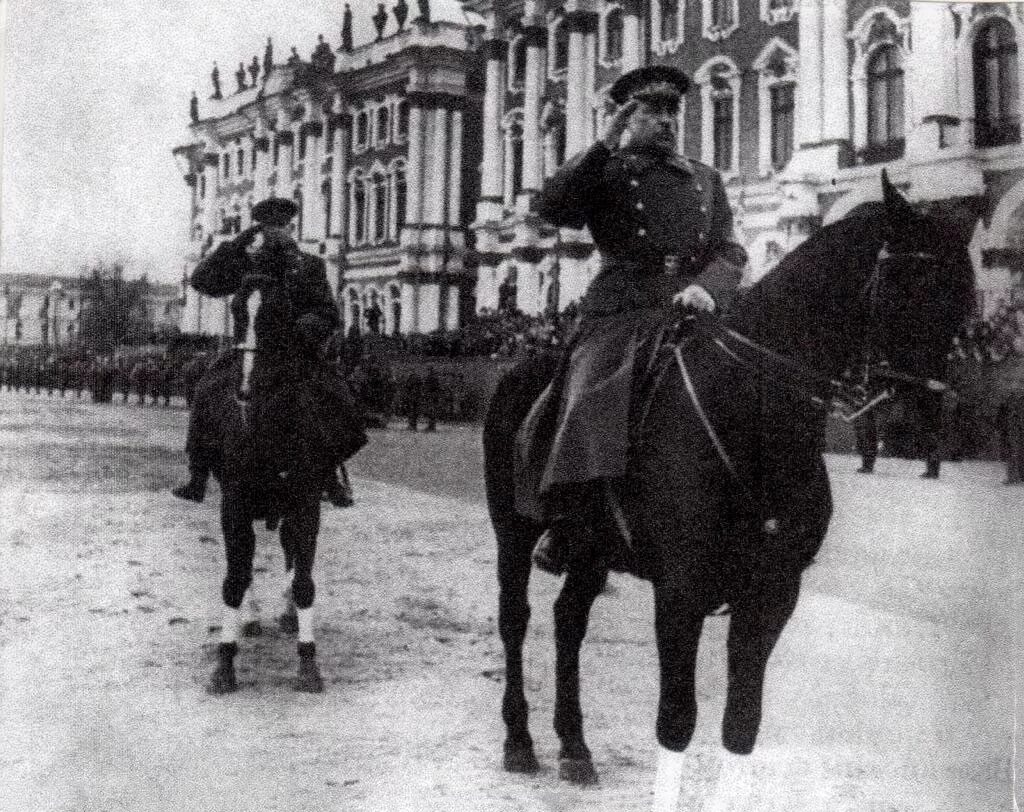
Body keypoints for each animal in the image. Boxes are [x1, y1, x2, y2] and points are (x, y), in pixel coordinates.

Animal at [188, 282, 335, 692]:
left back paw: (286, 613)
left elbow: (304, 582)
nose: (245, 389)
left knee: (288, 553)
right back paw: (251, 617)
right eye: (236, 312)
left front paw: (308, 663)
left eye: (276, 314)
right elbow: (235, 578)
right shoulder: (234, 505)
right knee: (247, 562)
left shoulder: (306, 505)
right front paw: (224, 663)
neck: (267, 425)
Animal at [483, 173, 970, 802]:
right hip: (513, 535)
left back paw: (574, 747)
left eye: (963, 292)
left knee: (569, 621)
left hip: (591, 550)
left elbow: (741, 724)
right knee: (516, 621)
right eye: (910, 280)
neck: (752, 417)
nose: (933, 411)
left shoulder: (772, 594)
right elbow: (676, 721)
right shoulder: (680, 593)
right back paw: (519, 741)